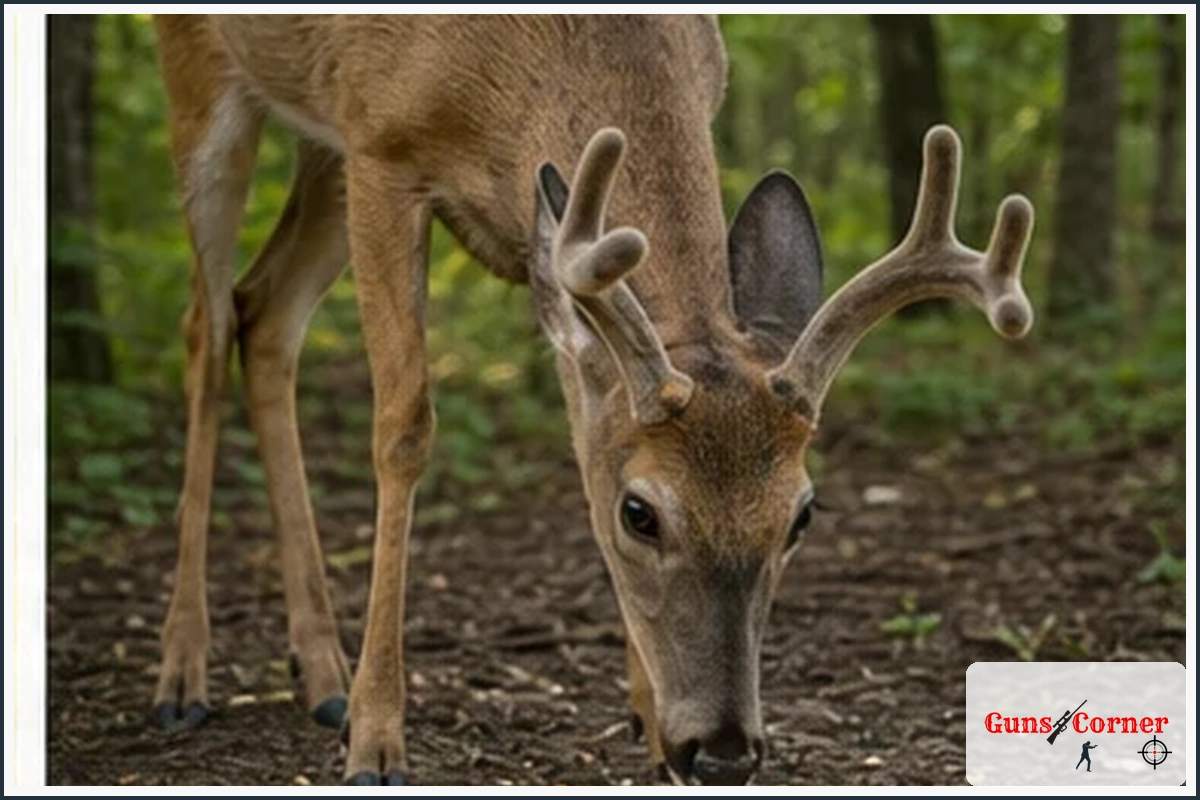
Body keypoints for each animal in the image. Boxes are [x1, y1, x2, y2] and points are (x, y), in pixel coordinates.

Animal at [150, 14, 1033, 786]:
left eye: (802, 516)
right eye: (639, 513)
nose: (723, 754)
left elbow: (580, 430)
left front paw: (646, 718)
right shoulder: (380, 146)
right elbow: (404, 426)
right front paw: (375, 742)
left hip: (317, 150)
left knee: (264, 314)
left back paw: (321, 673)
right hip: (209, 83)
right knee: (205, 322)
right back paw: (183, 675)